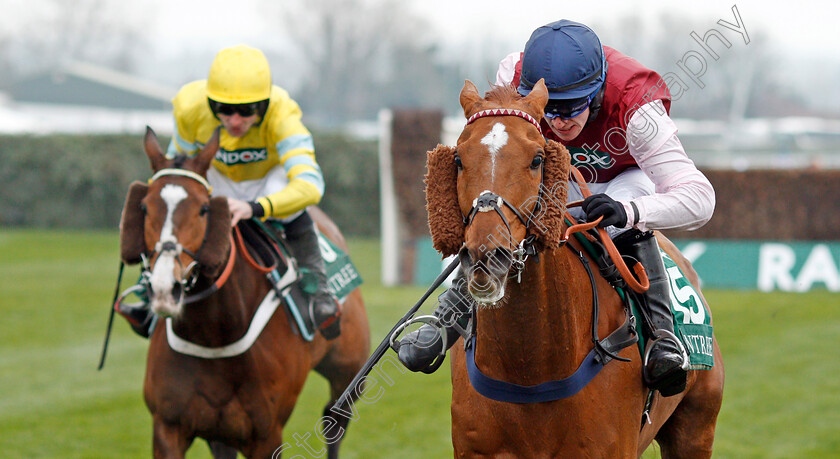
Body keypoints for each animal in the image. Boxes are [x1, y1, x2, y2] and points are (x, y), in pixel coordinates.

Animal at [120, 129, 370, 459]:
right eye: (144, 207)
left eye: (204, 209)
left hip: (350, 369)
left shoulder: (266, 435)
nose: (164, 288)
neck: (213, 335)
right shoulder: (168, 427)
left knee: (335, 418)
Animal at [424, 81, 724, 458]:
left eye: (537, 159)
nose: (488, 256)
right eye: (459, 159)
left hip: (696, 429)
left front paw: (612, 210)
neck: (531, 369)